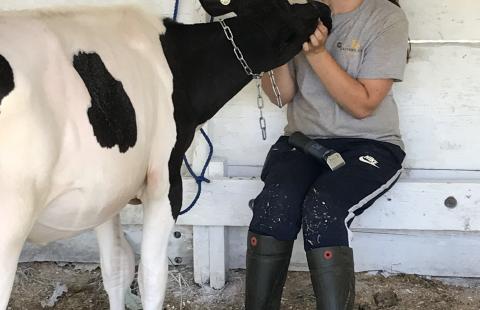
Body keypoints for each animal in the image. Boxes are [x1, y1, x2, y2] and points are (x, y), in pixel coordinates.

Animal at [0, 1, 330, 308]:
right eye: (284, 8)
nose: (321, 7)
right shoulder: (165, 180)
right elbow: (152, 276)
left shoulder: (105, 190)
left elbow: (115, 269)